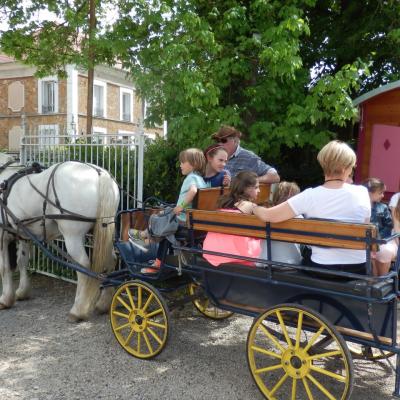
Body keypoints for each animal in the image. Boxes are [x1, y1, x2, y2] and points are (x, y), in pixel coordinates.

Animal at [0, 155, 119, 320]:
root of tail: (99, 173)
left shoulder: (2, 235)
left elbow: (4, 267)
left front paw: (5, 299)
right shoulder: (24, 235)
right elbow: (22, 262)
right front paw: (22, 292)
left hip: (72, 236)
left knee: (82, 265)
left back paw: (78, 309)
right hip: (103, 229)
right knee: (110, 260)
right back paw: (103, 304)